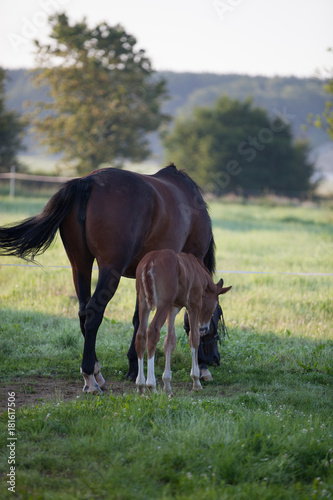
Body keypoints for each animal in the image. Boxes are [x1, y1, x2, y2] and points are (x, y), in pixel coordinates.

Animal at [0, 163, 215, 390]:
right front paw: (199, 367)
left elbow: (139, 319)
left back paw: (97, 373)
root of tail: (88, 181)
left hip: (80, 265)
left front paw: (133, 366)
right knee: (94, 311)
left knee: (83, 312)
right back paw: (89, 377)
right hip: (110, 270)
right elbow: (188, 319)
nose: (213, 360)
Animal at [134, 250, 230, 394]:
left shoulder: (174, 307)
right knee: (152, 331)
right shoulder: (194, 306)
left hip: (143, 303)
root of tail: (150, 261)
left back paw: (140, 385)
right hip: (163, 304)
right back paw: (151, 385)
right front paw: (196, 382)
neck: (198, 272)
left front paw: (167, 385)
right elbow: (194, 338)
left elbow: (170, 341)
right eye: (216, 307)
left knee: (140, 335)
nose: (205, 329)